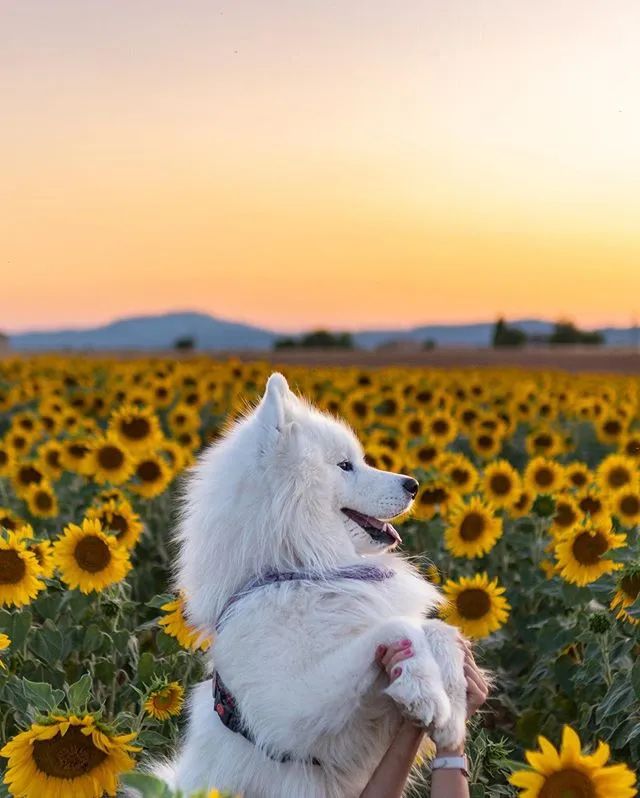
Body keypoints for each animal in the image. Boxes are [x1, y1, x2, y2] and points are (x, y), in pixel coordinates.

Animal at [162, 376, 468, 798]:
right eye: (345, 465)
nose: (414, 484)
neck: (301, 573)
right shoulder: (287, 713)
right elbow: (398, 626)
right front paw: (424, 689)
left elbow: (437, 628)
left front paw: (454, 704)